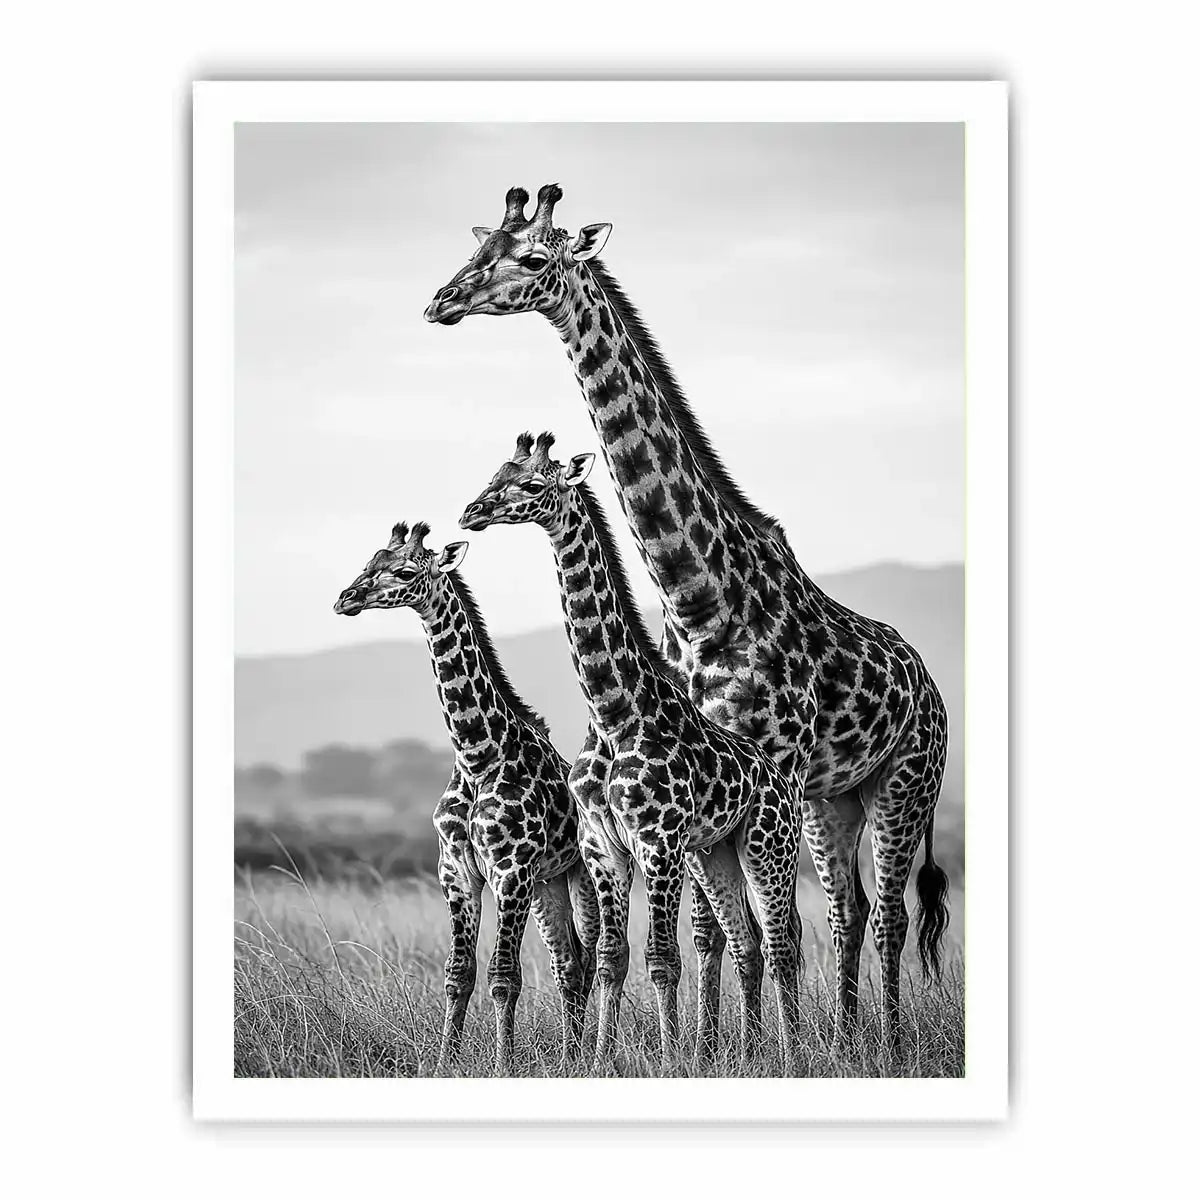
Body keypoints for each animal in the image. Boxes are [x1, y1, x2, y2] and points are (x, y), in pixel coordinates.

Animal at [334, 520, 599, 1074]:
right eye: (369, 561)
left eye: (405, 571)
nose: (346, 598)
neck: (478, 756)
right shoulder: (455, 870)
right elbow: (459, 974)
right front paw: (444, 1062)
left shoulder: (510, 870)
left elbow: (504, 978)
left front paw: (503, 1064)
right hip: (547, 885)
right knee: (568, 962)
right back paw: (570, 1055)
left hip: (578, 874)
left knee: (583, 958)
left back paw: (577, 1055)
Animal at [460, 432, 805, 1073]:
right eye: (496, 474)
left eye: (533, 484)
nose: (472, 512)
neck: (615, 712)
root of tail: (784, 778)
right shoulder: (604, 846)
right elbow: (610, 957)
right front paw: (598, 1058)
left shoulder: (658, 842)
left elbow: (662, 957)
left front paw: (672, 1059)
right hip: (715, 852)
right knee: (748, 940)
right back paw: (752, 1053)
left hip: (767, 845)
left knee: (781, 941)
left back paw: (796, 1054)